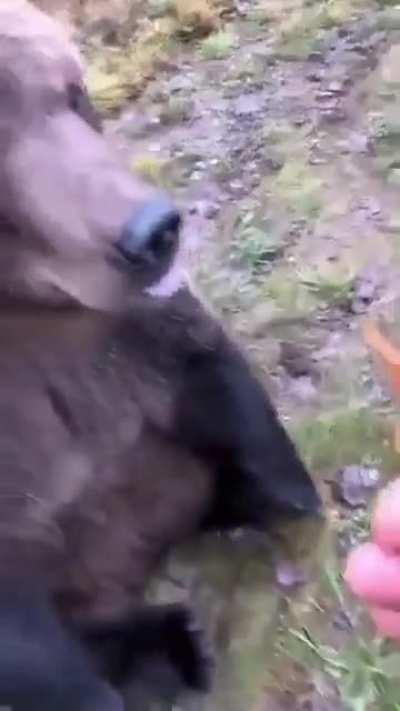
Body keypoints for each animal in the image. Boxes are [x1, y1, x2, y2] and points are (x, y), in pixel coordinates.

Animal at [0, 2, 322, 708]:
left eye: (73, 93)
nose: (152, 231)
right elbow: (29, 642)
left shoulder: (128, 340)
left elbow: (212, 380)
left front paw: (291, 500)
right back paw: (171, 646)